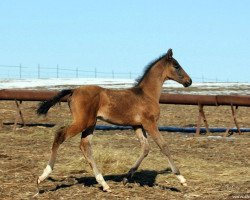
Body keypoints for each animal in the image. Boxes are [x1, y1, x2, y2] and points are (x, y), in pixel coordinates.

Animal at [37, 48, 192, 192]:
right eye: (177, 65)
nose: (189, 81)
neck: (147, 95)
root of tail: (73, 91)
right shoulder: (150, 123)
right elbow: (164, 146)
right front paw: (181, 179)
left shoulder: (137, 125)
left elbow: (145, 148)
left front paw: (126, 177)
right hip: (82, 122)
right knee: (60, 134)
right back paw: (43, 175)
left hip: (91, 123)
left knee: (85, 145)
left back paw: (104, 184)